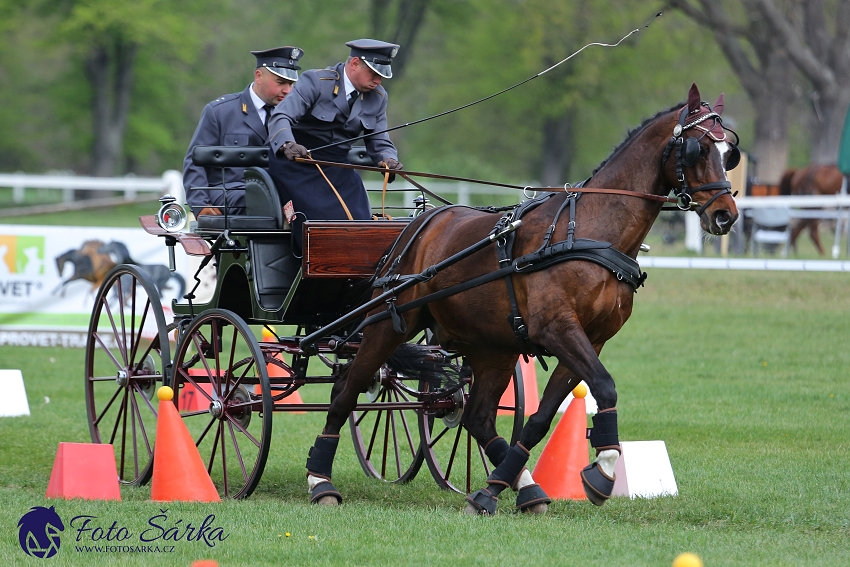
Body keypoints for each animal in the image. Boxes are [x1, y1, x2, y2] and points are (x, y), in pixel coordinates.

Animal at [304, 84, 736, 516]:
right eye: (698, 149)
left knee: (477, 417)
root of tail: (419, 224)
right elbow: (605, 386)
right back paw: (319, 479)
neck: (592, 233)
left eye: (730, 151)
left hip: (491, 346)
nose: (725, 215)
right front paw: (603, 470)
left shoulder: (590, 340)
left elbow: (541, 417)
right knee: (345, 393)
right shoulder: (559, 329)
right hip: (385, 324)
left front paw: (496, 488)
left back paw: (517, 489)